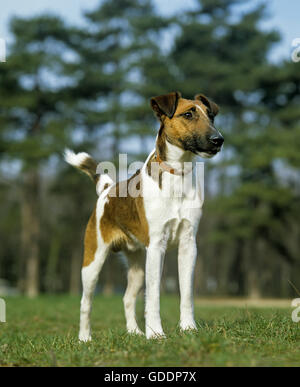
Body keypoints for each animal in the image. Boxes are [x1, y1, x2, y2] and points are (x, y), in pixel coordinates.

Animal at [64, 92, 223, 342]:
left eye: (211, 116)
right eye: (188, 114)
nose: (219, 140)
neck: (177, 174)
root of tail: (107, 190)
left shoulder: (188, 245)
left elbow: (187, 293)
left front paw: (188, 328)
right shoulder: (157, 246)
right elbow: (154, 296)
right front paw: (156, 333)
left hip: (137, 265)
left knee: (127, 298)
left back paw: (135, 332)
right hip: (93, 260)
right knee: (85, 302)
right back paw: (85, 338)